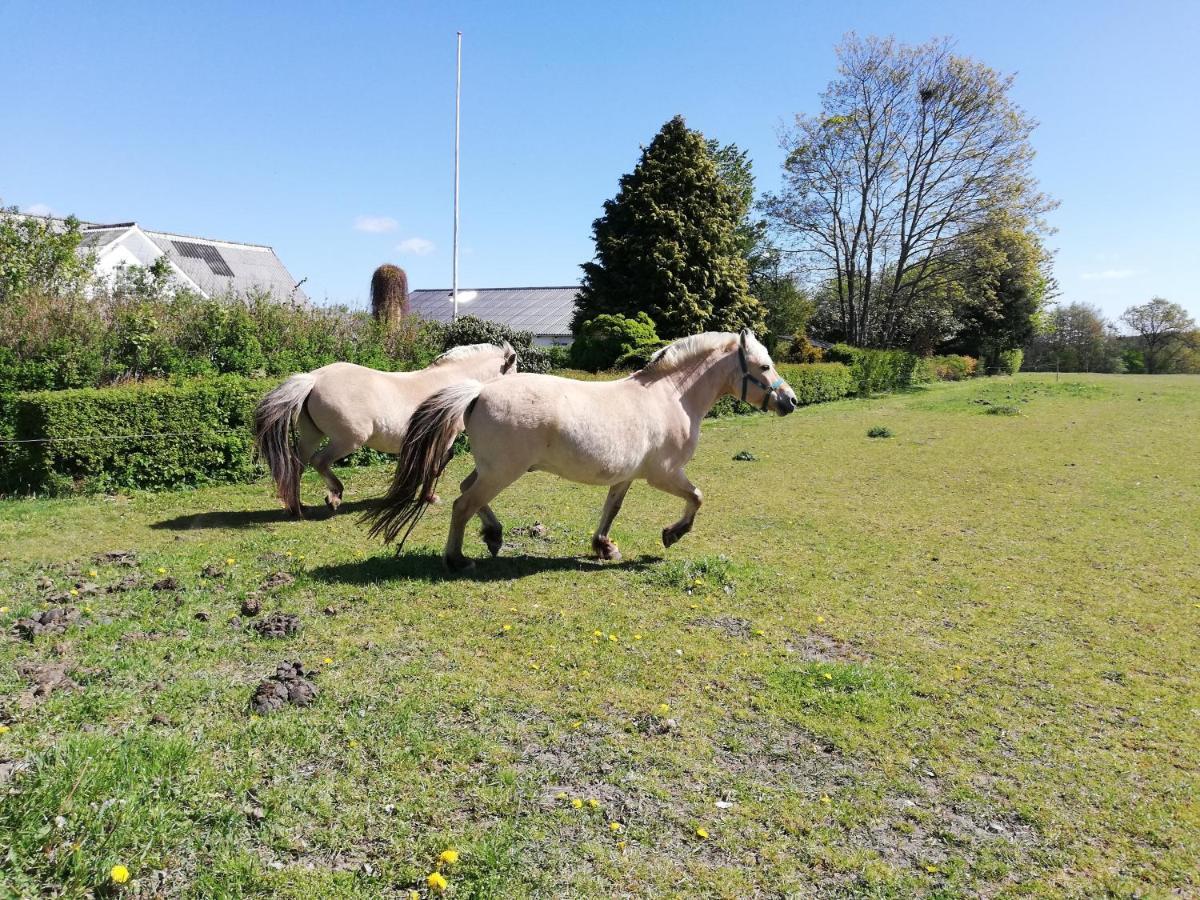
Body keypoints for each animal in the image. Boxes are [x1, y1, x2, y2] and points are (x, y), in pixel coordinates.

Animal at [255, 343, 513, 518]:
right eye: (514, 371)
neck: (453, 382)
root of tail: (314, 378)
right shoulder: (445, 437)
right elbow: (435, 465)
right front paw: (429, 497)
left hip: (312, 435)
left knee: (297, 466)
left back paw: (297, 508)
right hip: (348, 440)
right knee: (319, 461)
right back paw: (334, 497)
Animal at [364, 331, 796, 571]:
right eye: (764, 366)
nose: (790, 401)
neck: (670, 397)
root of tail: (479, 390)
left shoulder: (626, 476)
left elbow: (611, 509)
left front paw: (604, 546)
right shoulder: (664, 475)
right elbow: (697, 497)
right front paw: (672, 535)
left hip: (492, 469)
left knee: (466, 492)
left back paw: (493, 535)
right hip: (502, 472)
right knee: (463, 504)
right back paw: (457, 559)